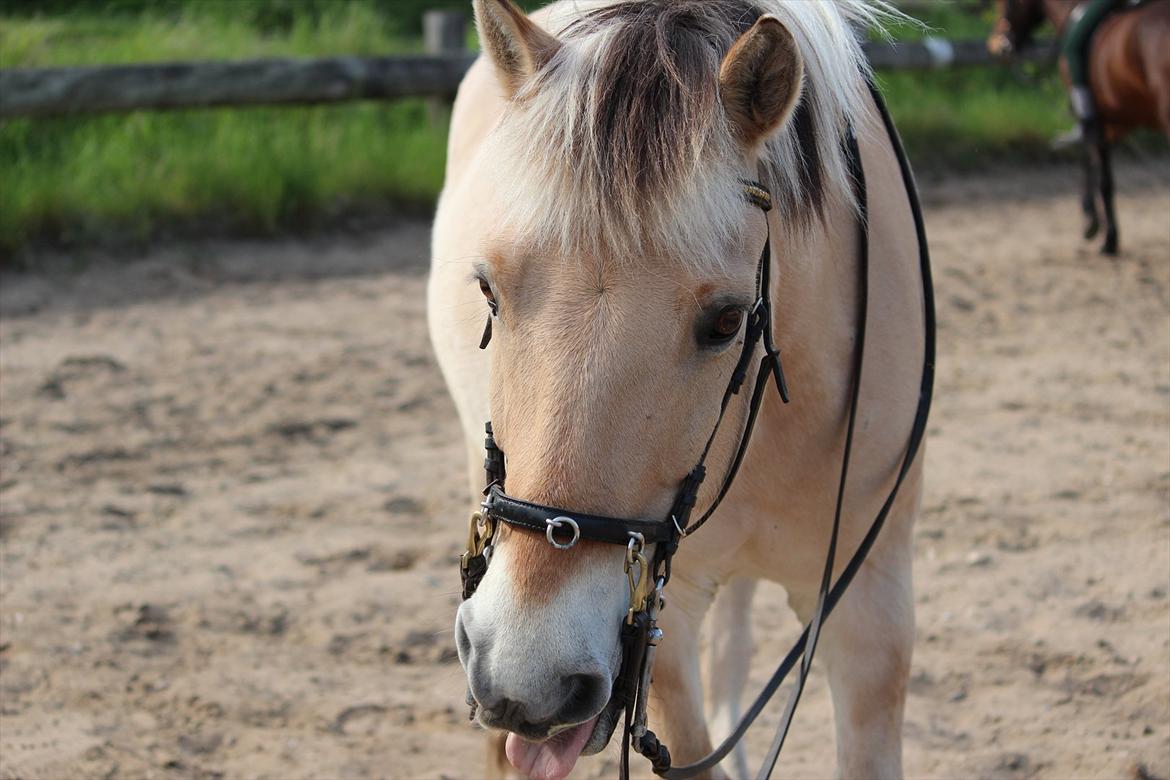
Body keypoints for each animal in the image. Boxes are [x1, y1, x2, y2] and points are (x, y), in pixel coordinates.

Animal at [987, 0, 1170, 254]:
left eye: (1005, 3)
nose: (999, 45)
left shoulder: (1095, 118)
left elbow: (1098, 172)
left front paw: (1101, 231)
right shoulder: (1114, 123)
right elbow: (1094, 164)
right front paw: (1096, 225)